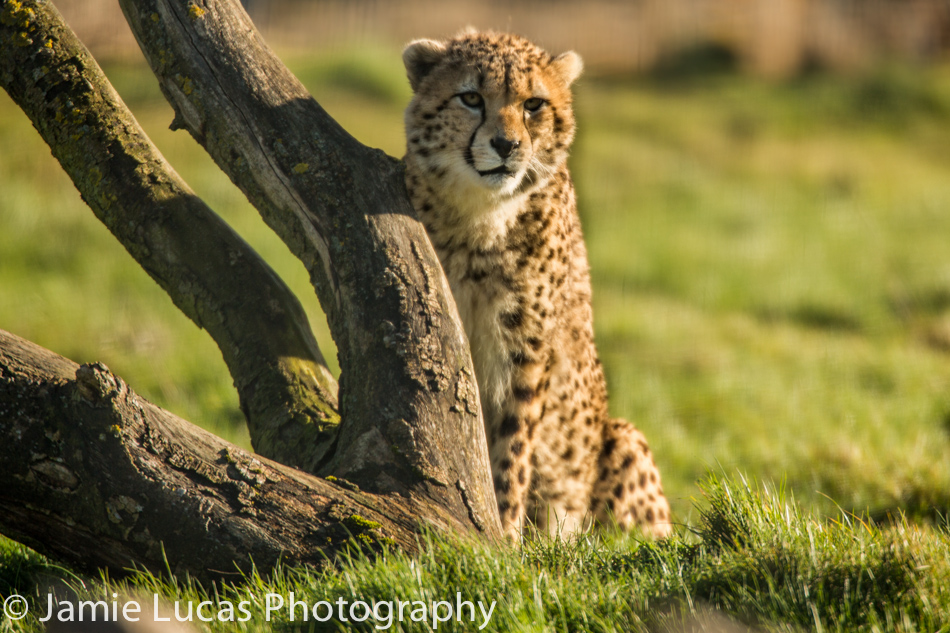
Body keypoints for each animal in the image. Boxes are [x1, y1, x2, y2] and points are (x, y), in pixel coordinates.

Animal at [402, 30, 671, 540]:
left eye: (533, 104)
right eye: (471, 98)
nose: (505, 145)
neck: (481, 218)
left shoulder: (525, 353)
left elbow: (512, 449)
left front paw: (503, 536)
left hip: (624, 443)